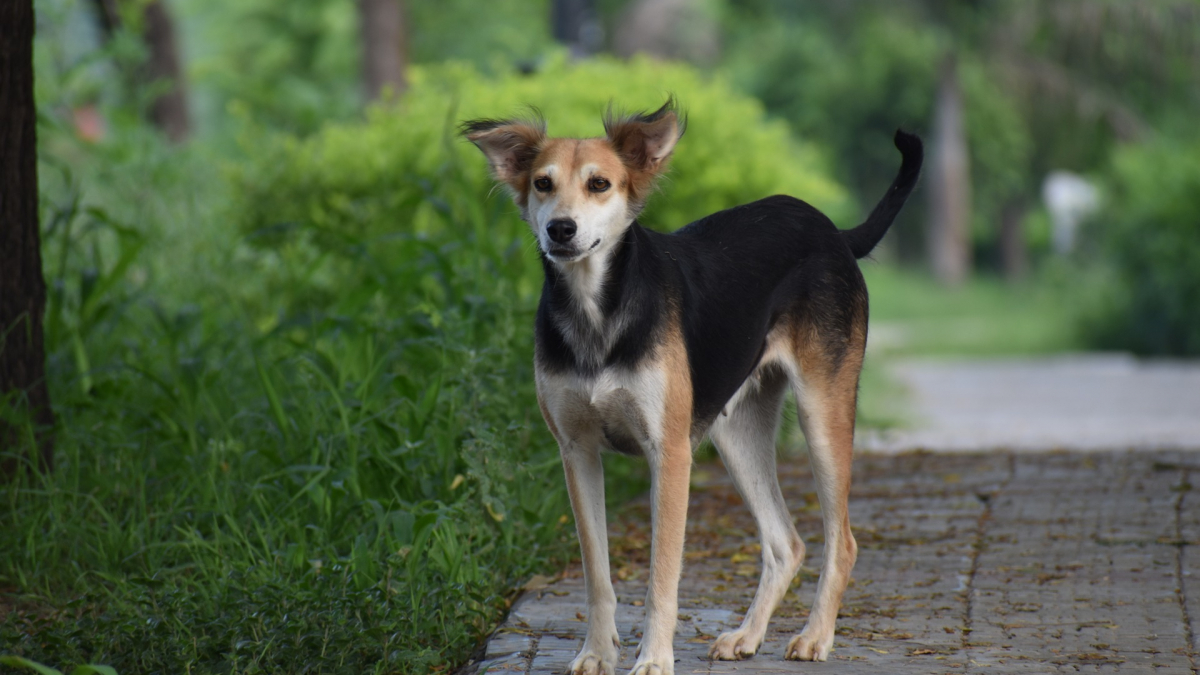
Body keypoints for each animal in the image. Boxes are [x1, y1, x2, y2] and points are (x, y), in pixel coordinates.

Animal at [463, 99, 921, 672]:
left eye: (599, 184)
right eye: (542, 183)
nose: (561, 230)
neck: (597, 312)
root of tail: (833, 231)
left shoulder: (670, 453)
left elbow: (662, 578)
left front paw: (654, 658)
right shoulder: (576, 451)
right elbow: (597, 575)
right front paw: (597, 651)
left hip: (822, 411)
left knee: (843, 541)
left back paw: (816, 636)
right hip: (735, 430)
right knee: (785, 543)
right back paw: (747, 635)